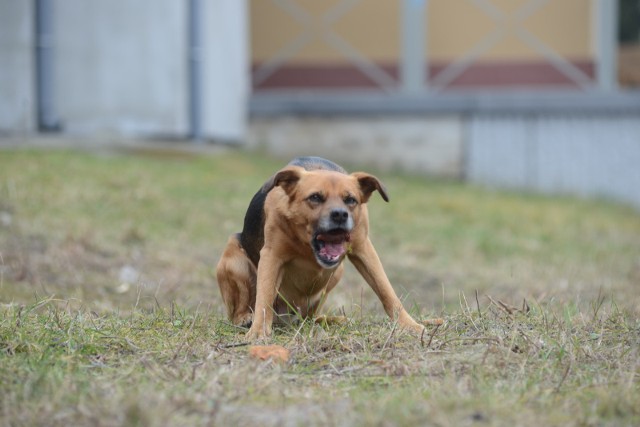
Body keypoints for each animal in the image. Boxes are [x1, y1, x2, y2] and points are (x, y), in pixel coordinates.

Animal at [216, 157, 424, 342]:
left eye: (350, 200)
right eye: (315, 197)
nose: (340, 215)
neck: (307, 246)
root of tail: (286, 317)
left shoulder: (363, 249)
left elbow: (386, 291)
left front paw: (408, 324)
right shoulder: (271, 256)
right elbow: (264, 297)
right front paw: (258, 331)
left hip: (336, 274)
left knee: (310, 317)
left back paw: (330, 320)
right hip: (234, 260)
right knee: (241, 309)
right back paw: (245, 318)